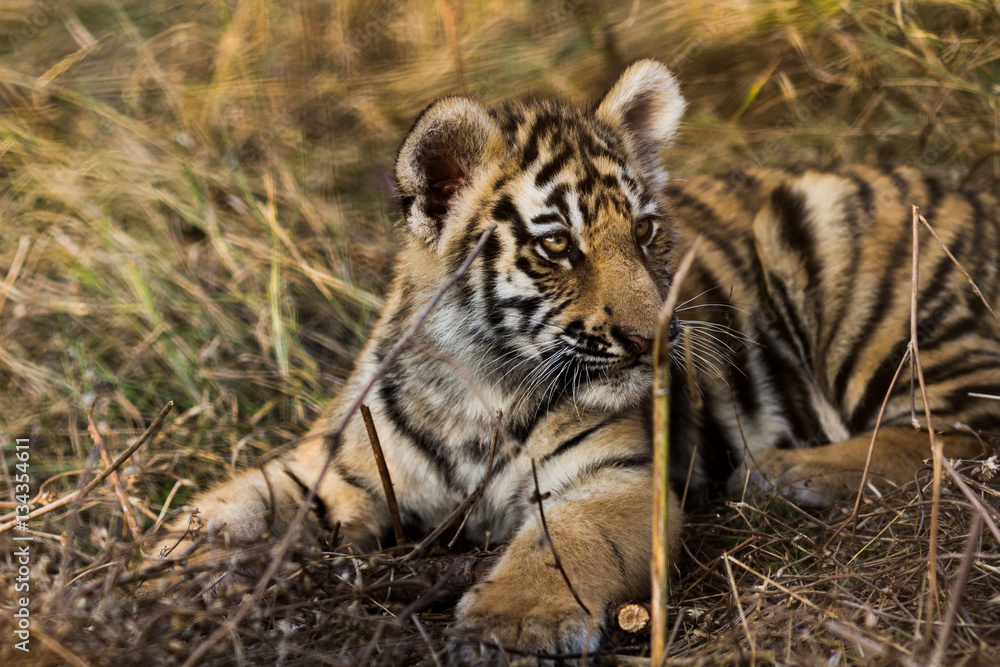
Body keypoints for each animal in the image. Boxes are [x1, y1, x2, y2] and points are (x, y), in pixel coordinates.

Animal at [151, 59, 1000, 662]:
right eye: (558, 244)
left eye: (647, 231)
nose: (655, 337)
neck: (480, 388)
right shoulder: (338, 467)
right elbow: (229, 505)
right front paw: (154, 573)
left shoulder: (612, 478)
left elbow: (564, 547)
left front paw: (511, 624)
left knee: (961, 436)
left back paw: (789, 472)